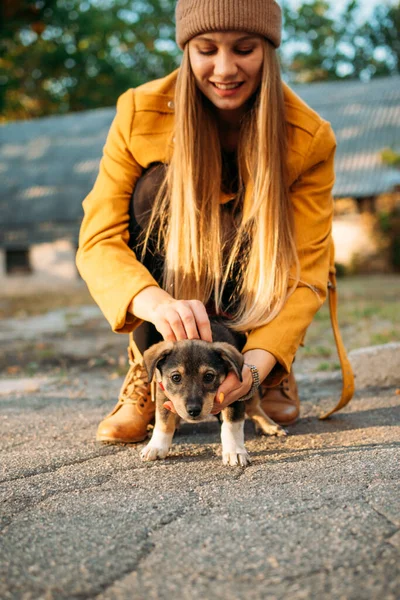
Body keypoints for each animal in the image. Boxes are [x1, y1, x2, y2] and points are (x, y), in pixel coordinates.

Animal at [140, 316, 284, 466]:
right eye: (176, 377)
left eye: (209, 376)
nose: (193, 411)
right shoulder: (162, 392)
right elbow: (164, 421)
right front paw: (156, 446)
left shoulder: (235, 394)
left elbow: (232, 425)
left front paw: (235, 452)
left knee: (254, 405)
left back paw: (269, 425)